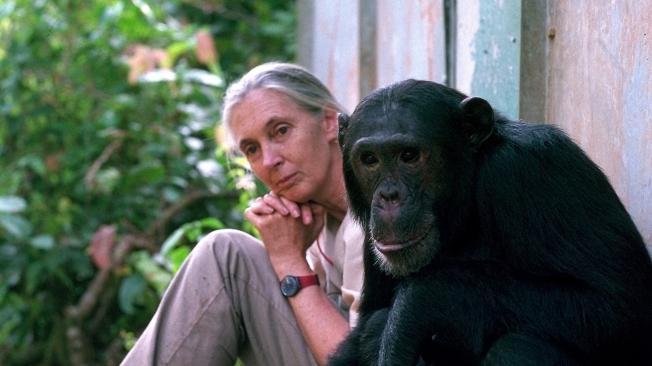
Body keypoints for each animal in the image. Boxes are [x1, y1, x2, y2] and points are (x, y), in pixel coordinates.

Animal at [328, 80, 652, 366]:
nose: (388, 196)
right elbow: (367, 321)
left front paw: (420, 303)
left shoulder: (535, 166)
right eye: (370, 160)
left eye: (409, 156)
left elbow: (616, 305)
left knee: (517, 346)